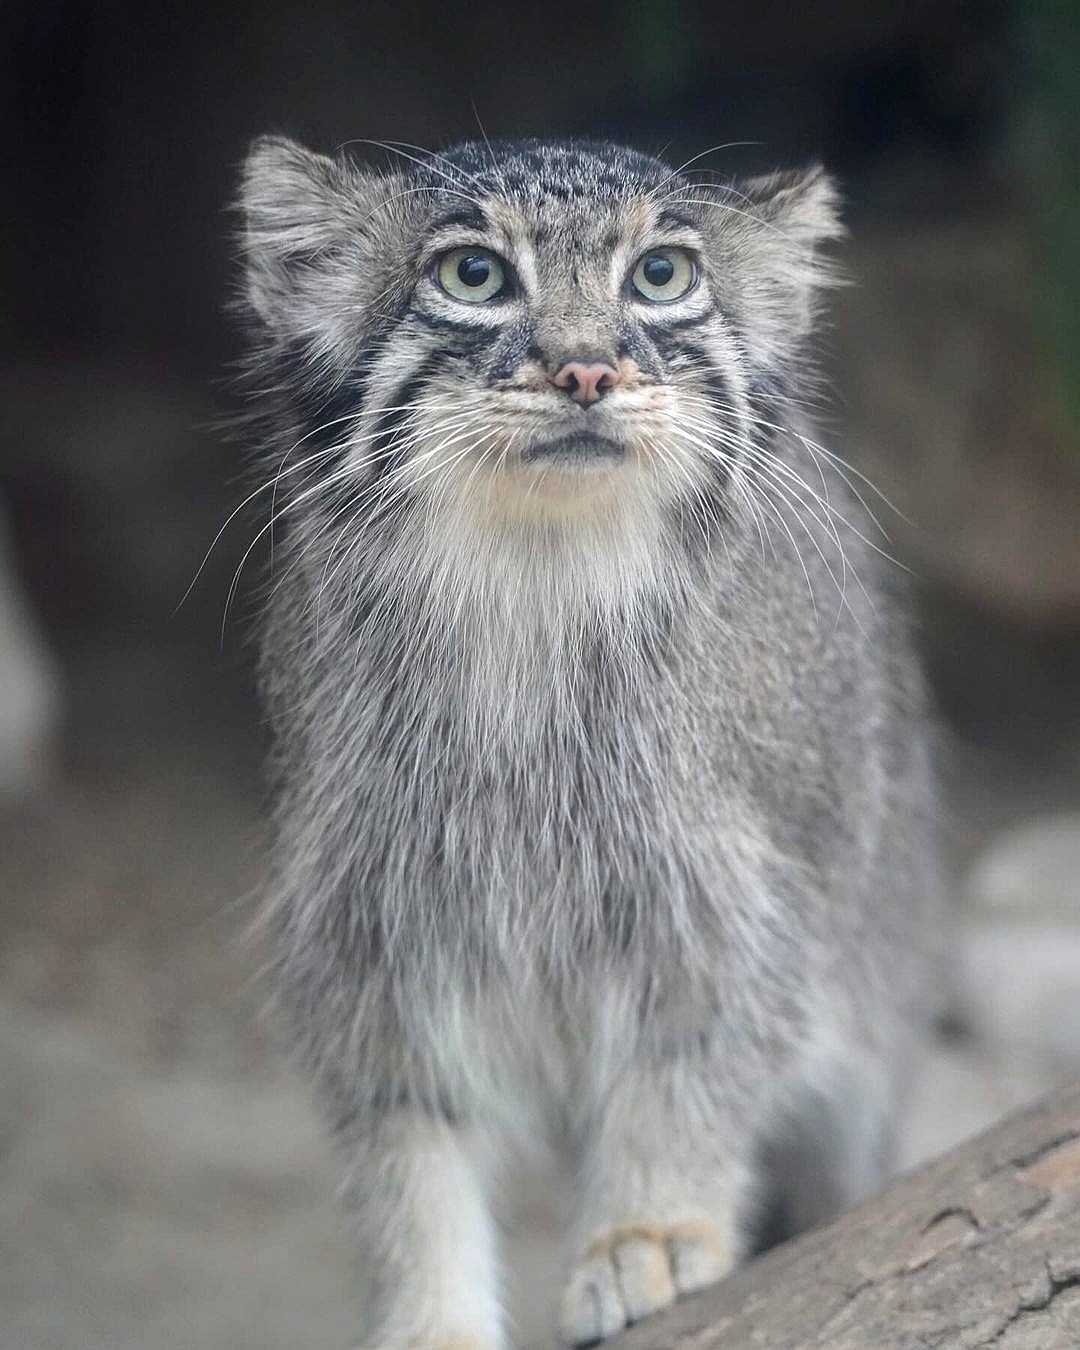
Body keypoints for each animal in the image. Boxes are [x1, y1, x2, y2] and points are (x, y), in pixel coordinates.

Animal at [233, 137, 934, 1350]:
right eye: (473, 275)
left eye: (661, 276)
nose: (586, 372)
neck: (537, 593)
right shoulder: (363, 920)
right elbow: (405, 1151)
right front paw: (431, 1311)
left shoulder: (742, 900)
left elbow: (695, 1069)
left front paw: (645, 1231)